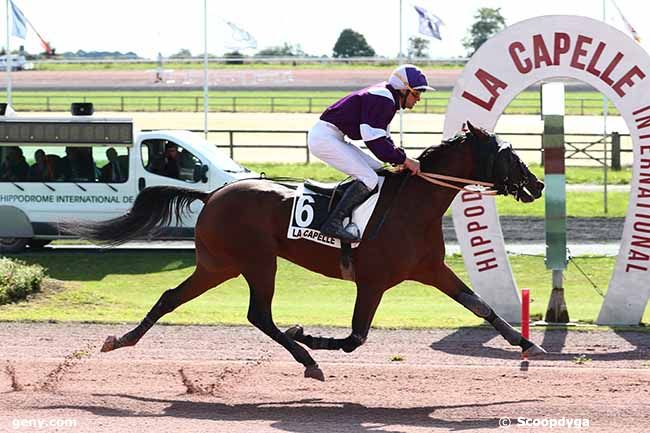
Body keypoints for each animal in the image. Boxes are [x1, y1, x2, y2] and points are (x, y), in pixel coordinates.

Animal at [68, 120, 544, 378]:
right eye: (508, 151)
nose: (537, 184)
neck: (413, 205)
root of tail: (214, 193)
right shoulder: (372, 282)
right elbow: (355, 338)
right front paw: (308, 335)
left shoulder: (429, 270)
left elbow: (480, 306)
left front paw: (527, 344)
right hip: (257, 261)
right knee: (258, 315)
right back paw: (306, 358)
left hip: (218, 265)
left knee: (171, 297)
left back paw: (122, 340)